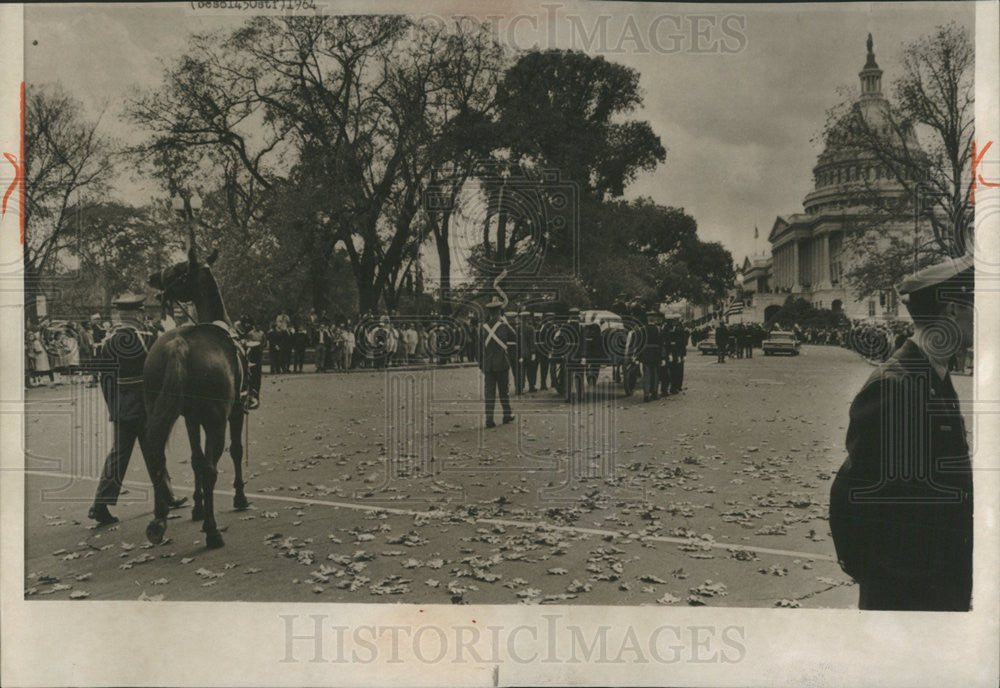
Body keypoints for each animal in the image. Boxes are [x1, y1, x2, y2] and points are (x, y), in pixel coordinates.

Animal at [142, 236, 249, 548]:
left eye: (179, 268)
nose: (153, 277)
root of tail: (179, 344)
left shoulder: (190, 418)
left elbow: (195, 459)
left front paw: (199, 506)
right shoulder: (235, 413)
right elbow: (234, 452)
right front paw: (239, 497)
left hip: (157, 410)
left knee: (157, 456)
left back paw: (159, 520)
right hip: (216, 421)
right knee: (212, 468)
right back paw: (212, 531)